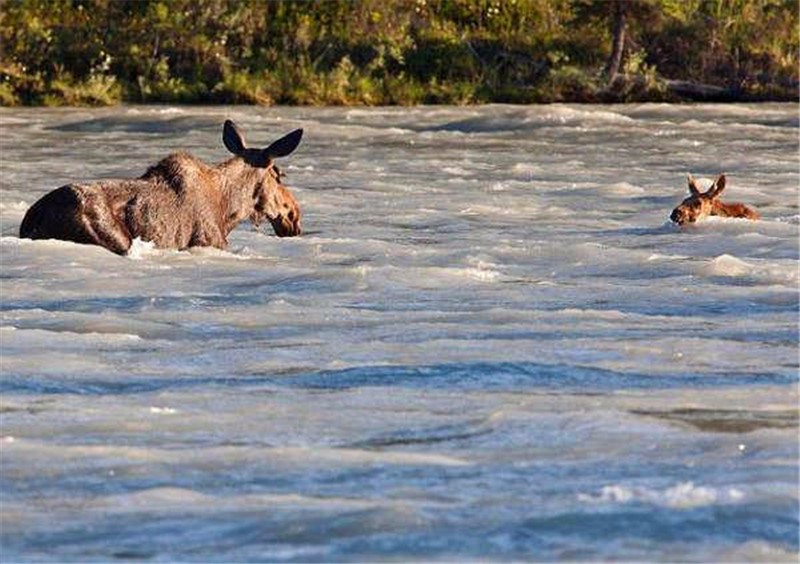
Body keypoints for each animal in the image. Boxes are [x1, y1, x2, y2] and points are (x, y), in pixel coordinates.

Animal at [19, 122, 306, 256]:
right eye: (279, 175)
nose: (294, 216)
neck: (229, 212)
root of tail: (33, 218)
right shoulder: (209, 241)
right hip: (112, 237)